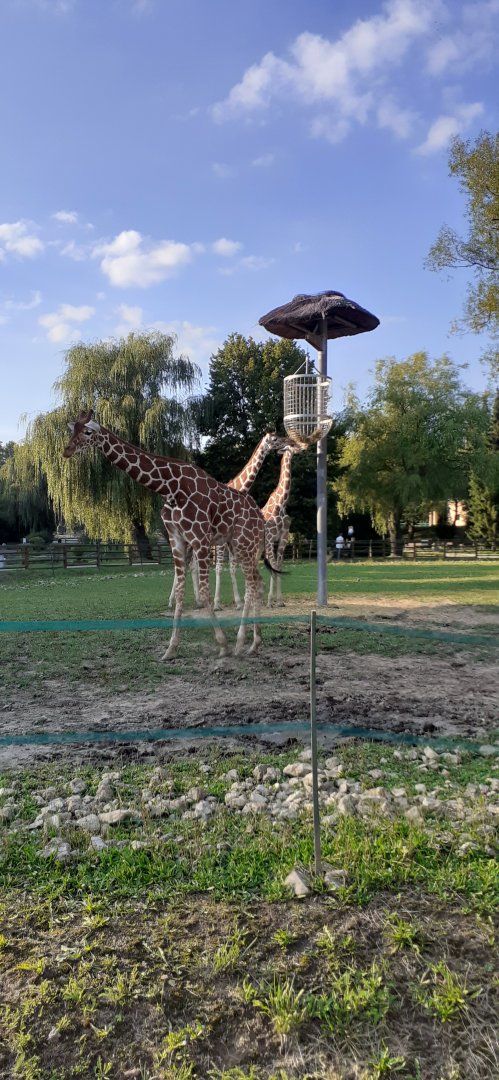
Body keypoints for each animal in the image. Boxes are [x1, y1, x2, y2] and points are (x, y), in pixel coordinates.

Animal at [63, 411, 279, 659]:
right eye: (72, 430)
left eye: (88, 432)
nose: (66, 450)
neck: (170, 487)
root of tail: (259, 515)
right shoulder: (177, 539)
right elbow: (180, 589)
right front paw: (171, 649)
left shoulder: (201, 539)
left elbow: (203, 590)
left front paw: (223, 644)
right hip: (239, 545)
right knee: (256, 581)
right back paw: (252, 643)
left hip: (245, 543)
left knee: (253, 583)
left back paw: (246, 642)